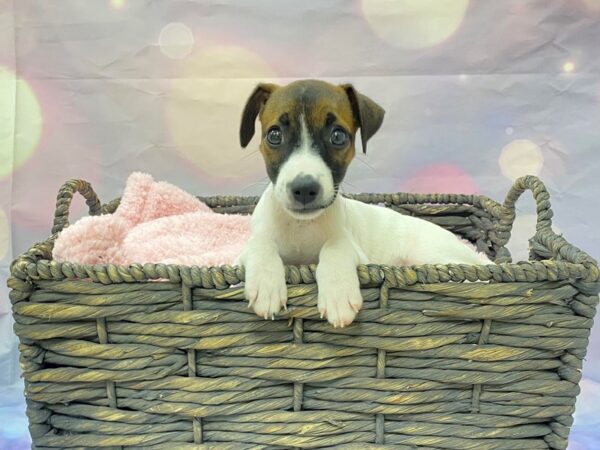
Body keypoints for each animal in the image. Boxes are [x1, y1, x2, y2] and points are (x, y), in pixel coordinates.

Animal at [233, 80, 488, 326]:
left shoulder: (355, 250)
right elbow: (261, 243)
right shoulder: (241, 256)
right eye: (274, 135)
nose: (304, 189)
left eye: (338, 136)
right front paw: (266, 283)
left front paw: (337, 293)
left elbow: (335, 246)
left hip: (433, 255)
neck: (301, 226)